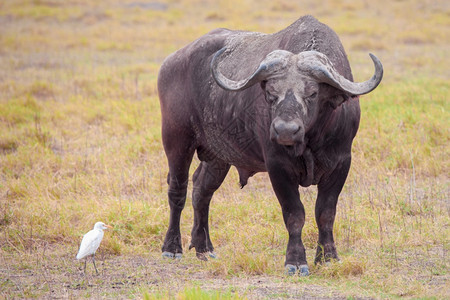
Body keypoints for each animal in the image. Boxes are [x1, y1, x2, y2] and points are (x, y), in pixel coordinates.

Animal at [158, 15, 384, 276]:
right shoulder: (278, 166)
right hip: (176, 140)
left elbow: (326, 213)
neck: (310, 140)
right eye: (271, 93)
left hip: (218, 156)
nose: (285, 130)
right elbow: (294, 213)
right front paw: (296, 261)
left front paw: (328, 258)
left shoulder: (341, 163)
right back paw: (172, 248)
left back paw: (204, 248)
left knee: (202, 191)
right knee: (178, 190)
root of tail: (171, 62)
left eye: (312, 93)